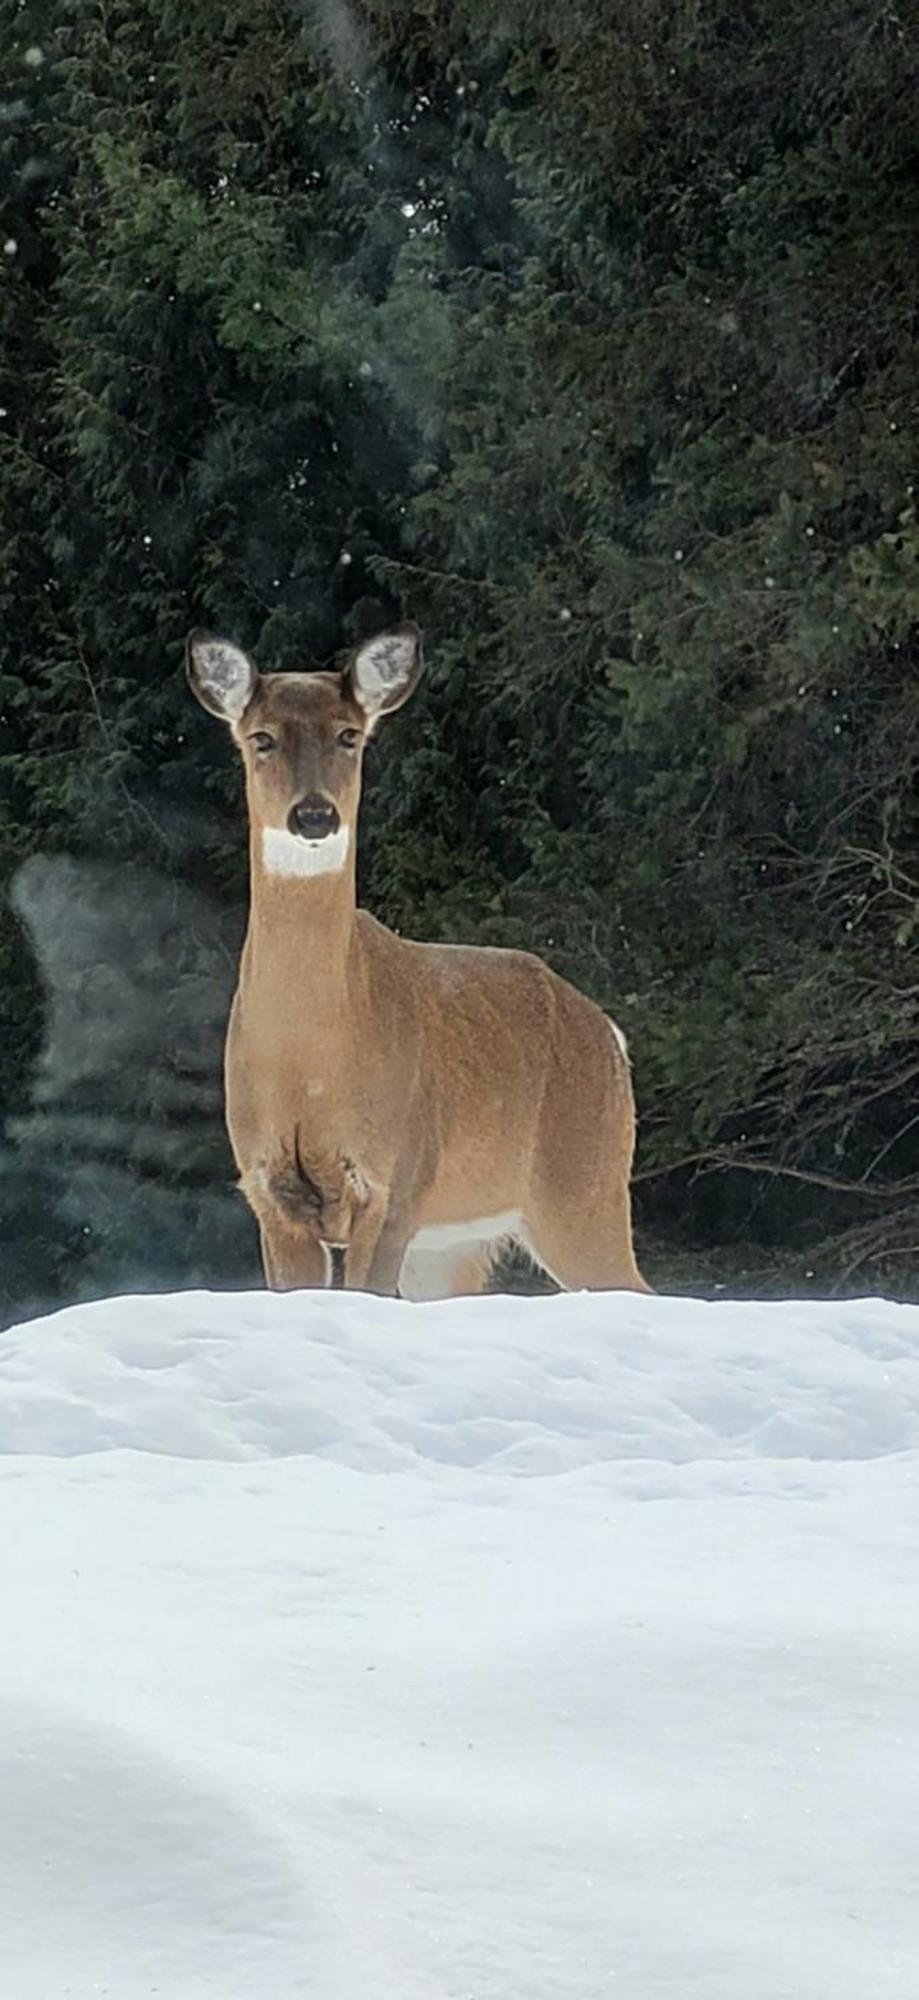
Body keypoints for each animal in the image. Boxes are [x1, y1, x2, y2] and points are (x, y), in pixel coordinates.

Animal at [184, 632, 655, 1304]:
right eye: (262, 738)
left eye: (349, 735)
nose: (314, 815)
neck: (311, 1065)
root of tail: (609, 1034)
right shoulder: (268, 1190)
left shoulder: (395, 1179)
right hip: (457, 1242)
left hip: (584, 1182)